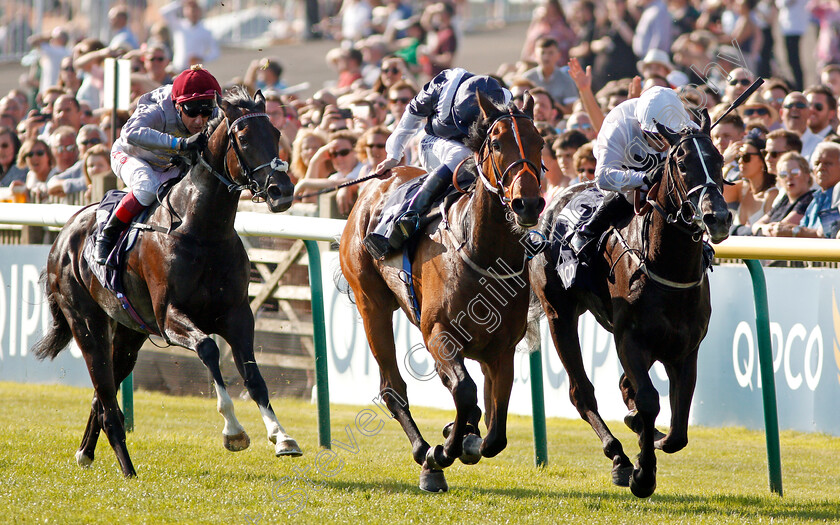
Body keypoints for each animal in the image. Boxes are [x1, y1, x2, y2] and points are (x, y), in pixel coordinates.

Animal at [32, 86, 302, 474]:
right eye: (244, 137)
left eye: (277, 134)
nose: (282, 190)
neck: (202, 230)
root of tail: (62, 236)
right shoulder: (170, 316)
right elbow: (208, 349)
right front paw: (233, 431)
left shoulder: (237, 315)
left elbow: (254, 377)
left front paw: (282, 437)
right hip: (86, 323)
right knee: (106, 396)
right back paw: (127, 468)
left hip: (129, 332)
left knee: (104, 393)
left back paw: (86, 452)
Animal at [340, 91, 544, 492]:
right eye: (497, 143)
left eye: (540, 142)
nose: (527, 204)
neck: (481, 252)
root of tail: (372, 186)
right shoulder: (439, 334)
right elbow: (464, 391)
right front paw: (443, 451)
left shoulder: (501, 351)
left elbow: (496, 432)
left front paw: (465, 437)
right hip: (372, 305)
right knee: (392, 387)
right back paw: (425, 454)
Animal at [532, 109, 736, 496]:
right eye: (682, 164)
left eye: (718, 159)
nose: (717, 217)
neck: (665, 265)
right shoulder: (629, 338)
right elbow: (649, 400)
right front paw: (643, 474)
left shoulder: (685, 348)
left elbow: (678, 426)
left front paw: (649, 437)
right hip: (558, 314)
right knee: (582, 392)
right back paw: (619, 458)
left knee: (626, 388)